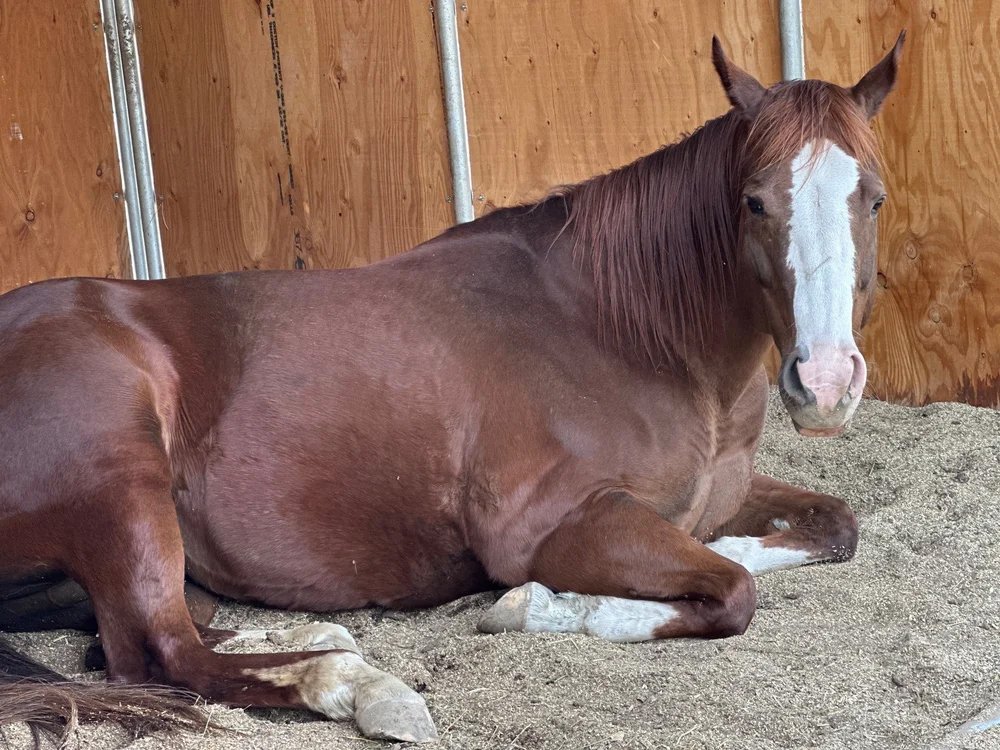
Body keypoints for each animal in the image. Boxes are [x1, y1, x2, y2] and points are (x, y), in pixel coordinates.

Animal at [0, 33, 903, 745]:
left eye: (874, 198)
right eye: (753, 202)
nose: (825, 382)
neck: (622, 328)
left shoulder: (728, 494)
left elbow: (833, 526)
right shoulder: (552, 525)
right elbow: (731, 592)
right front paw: (535, 605)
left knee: (148, 635)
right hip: (124, 488)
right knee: (159, 651)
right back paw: (363, 688)